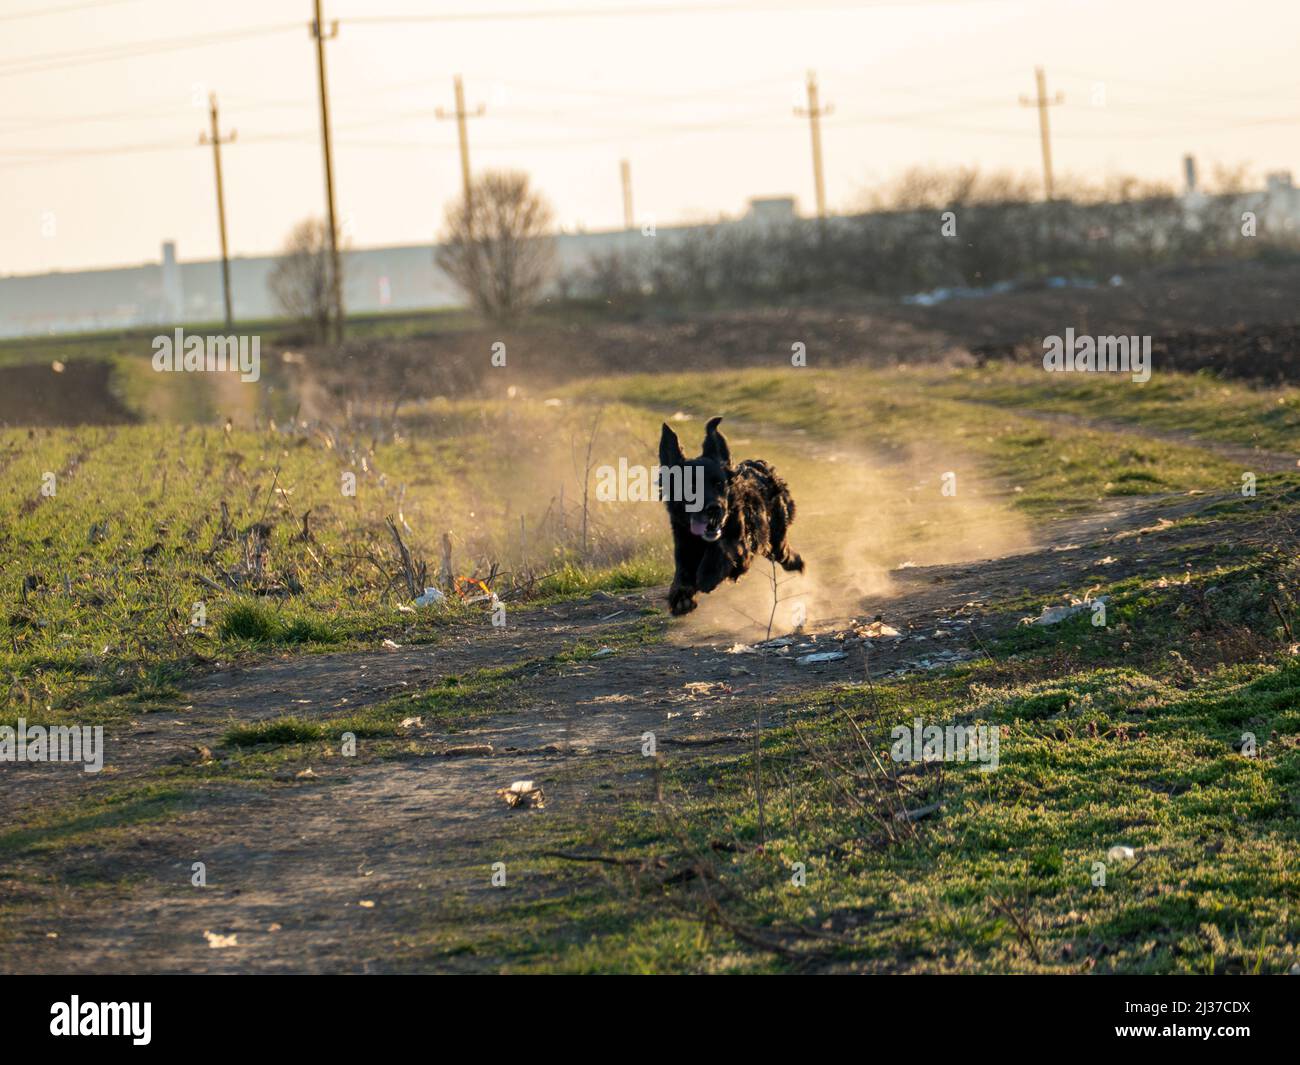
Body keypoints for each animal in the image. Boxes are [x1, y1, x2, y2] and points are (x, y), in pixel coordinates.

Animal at [660, 416, 800, 616]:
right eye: (690, 487)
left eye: (719, 483)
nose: (714, 508)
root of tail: (760, 465)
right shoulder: (684, 546)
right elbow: (682, 573)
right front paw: (681, 598)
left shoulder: (743, 547)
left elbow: (723, 549)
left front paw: (707, 574)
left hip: (775, 540)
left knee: (785, 554)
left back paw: (798, 563)